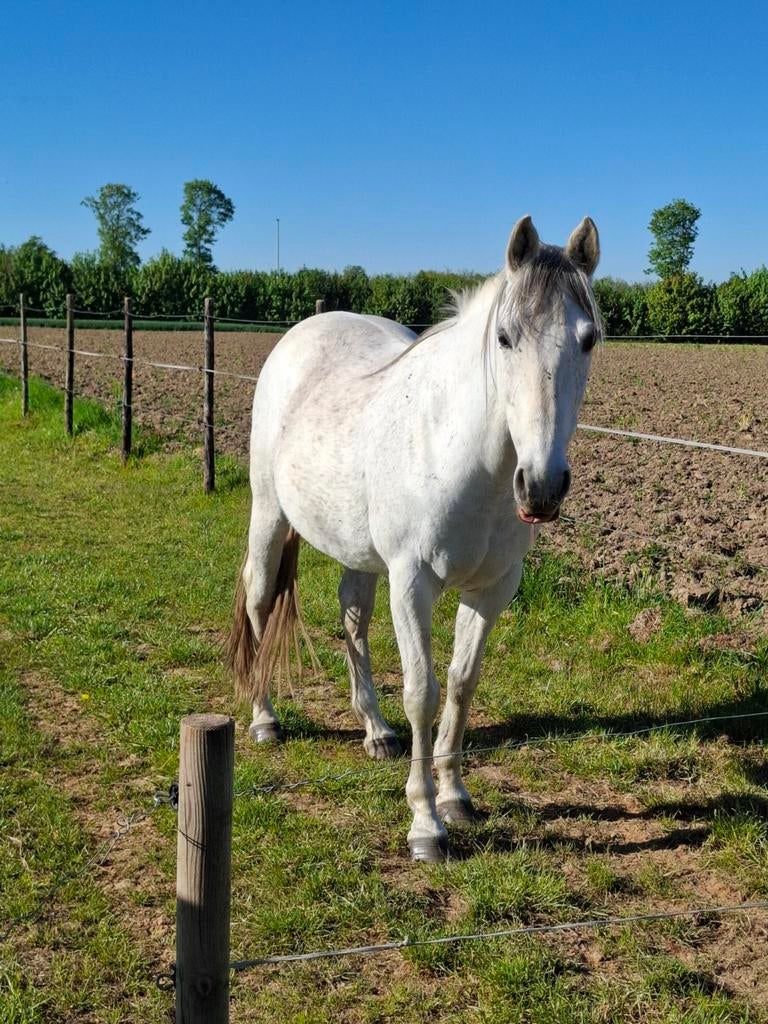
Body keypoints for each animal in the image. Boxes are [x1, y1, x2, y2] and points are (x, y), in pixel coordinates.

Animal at [227, 215, 601, 862]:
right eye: (505, 338)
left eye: (589, 339)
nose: (541, 486)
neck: (462, 456)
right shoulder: (413, 582)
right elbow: (422, 692)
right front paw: (426, 824)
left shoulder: (492, 589)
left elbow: (461, 683)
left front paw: (456, 797)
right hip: (269, 514)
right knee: (258, 598)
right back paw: (264, 719)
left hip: (358, 551)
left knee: (351, 616)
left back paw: (376, 730)